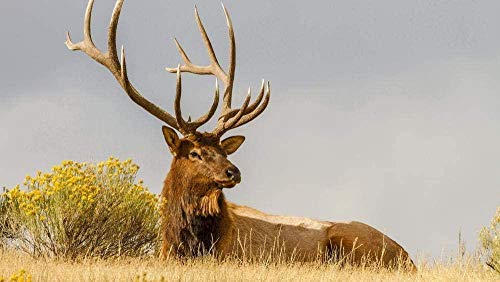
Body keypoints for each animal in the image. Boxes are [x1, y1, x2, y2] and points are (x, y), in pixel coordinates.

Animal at [67, 0, 414, 268]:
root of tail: (407, 257)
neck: (185, 244)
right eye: (194, 153)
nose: (233, 172)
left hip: (351, 241)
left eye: (223, 149)